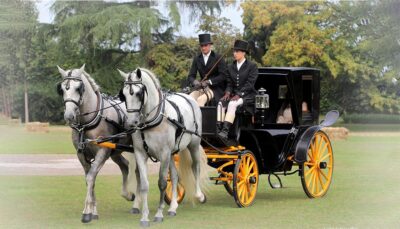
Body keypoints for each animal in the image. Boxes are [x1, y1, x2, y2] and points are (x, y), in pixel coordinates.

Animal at [56, 65, 138, 224]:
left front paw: (87, 212)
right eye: (62, 89)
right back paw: (128, 195)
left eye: (79, 88)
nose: (69, 116)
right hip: (115, 152)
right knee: (125, 166)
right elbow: (90, 179)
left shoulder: (102, 152)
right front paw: (93, 211)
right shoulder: (82, 154)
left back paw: (137, 204)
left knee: (138, 171)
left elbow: (90, 177)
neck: (87, 123)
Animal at [119, 68, 209, 227]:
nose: (130, 123)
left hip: (193, 145)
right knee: (175, 176)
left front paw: (159, 214)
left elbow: (161, 183)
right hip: (172, 154)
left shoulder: (164, 153)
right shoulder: (141, 153)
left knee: (196, 167)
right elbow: (144, 185)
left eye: (138, 93)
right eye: (123, 94)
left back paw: (199, 195)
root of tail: (189, 97)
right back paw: (173, 207)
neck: (151, 121)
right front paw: (144, 217)